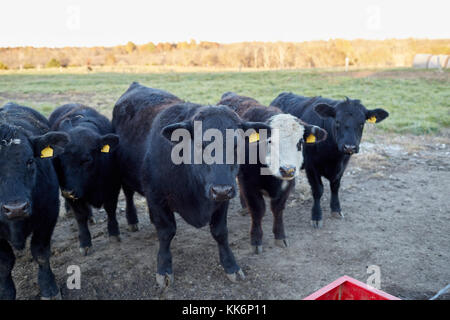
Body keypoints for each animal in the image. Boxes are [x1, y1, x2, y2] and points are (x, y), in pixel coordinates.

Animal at [216, 92, 326, 252]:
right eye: (270, 141)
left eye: (300, 142)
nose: (287, 169)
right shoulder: (248, 184)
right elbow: (257, 210)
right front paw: (256, 240)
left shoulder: (287, 185)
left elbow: (278, 209)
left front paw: (280, 236)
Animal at [270, 92, 390, 228]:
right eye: (337, 121)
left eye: (361, 123)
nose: (349, 147)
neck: (333, 156)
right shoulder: (311, 167)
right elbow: (318, 190)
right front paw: (316, 216)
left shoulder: (342, 166)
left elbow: (335, 186)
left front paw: (336, 209)